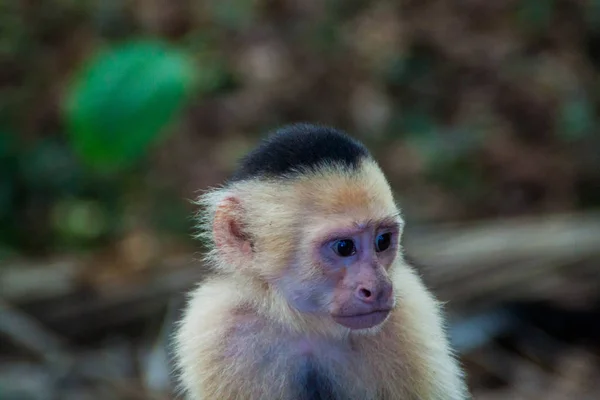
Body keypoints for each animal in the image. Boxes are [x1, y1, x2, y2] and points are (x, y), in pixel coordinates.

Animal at [173, 123, 468, 398]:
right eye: (344, 247)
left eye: (382, 241)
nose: (378, 288)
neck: (307, 325)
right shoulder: (218, 332)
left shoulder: (410, 319)